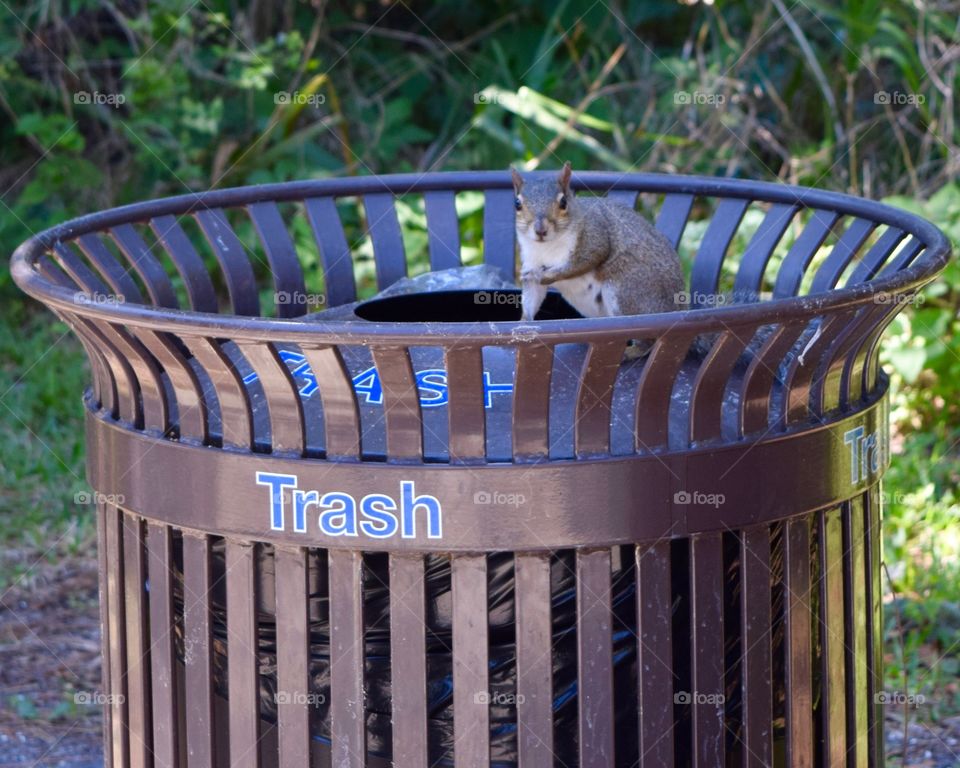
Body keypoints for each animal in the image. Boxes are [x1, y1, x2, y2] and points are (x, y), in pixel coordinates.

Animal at [512, 162, 686, 324]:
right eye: (517, 204)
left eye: (563, 202)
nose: (540, 230)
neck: (546, 247)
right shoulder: (531, 262)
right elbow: (532, 297)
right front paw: (524, 320)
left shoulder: (594, 238)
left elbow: (582, 262)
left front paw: (547, 275)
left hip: (626, 288)